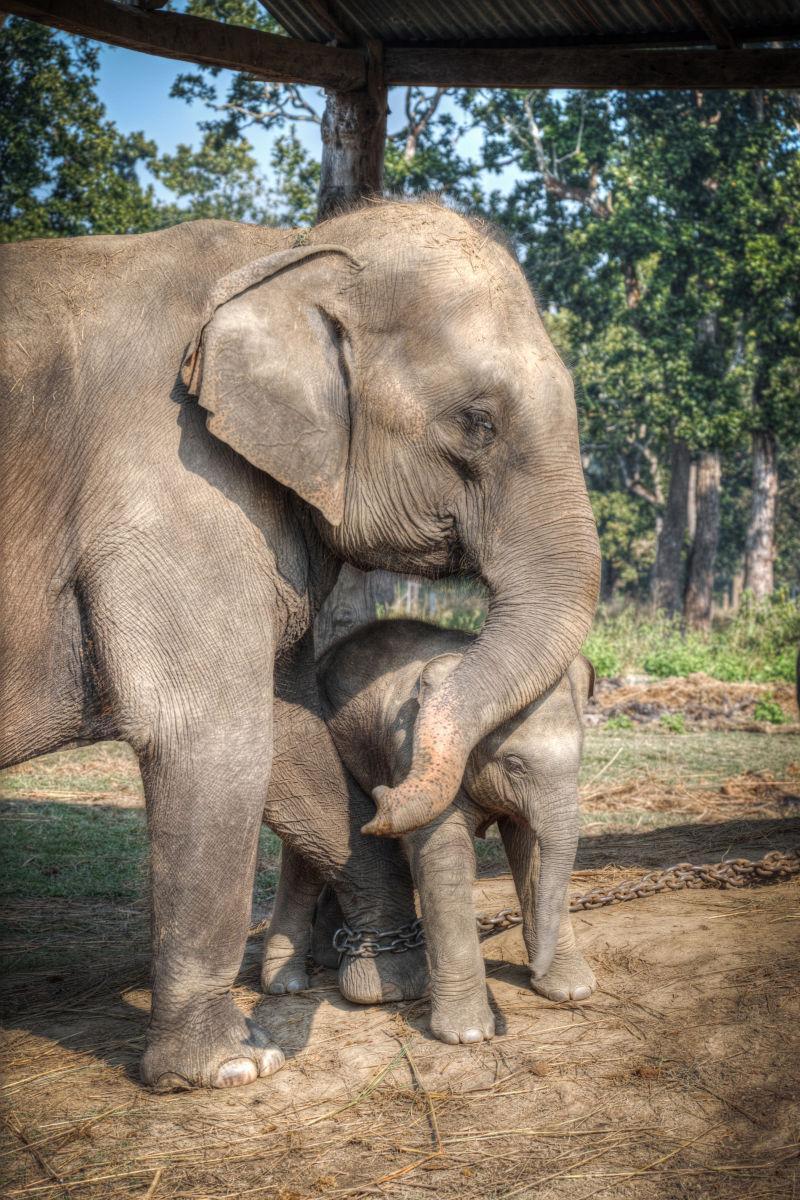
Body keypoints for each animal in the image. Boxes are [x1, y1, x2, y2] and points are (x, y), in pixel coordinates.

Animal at [262, 624, 594, 1046]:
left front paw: (572, 990)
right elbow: (445, 859)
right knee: (308, 853)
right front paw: (468, 1034)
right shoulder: (412, 753)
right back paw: (286, 984)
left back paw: (330, 956)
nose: (533, 970)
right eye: (514, 764)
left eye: (581, 755)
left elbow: (530, 849)